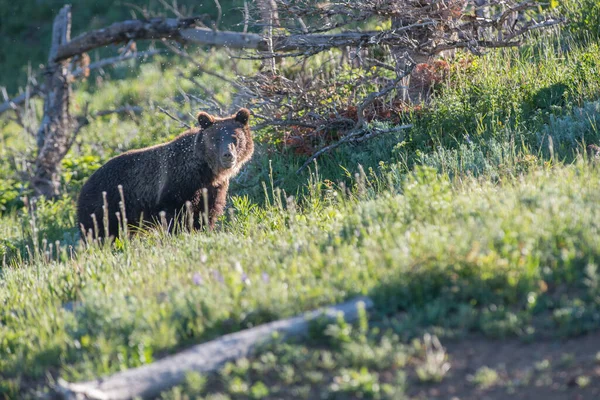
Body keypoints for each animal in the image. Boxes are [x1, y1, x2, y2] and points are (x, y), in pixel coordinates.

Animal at [77, 107, 253, 241]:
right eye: (216, 139)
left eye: (235, 138)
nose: (228, 155)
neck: (205, 172)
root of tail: (84, 185)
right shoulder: (175, 185)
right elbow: (175, 217)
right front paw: (180, 235)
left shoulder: (214, 189)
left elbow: (207, 214)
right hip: (104, 205)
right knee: (99, 232)